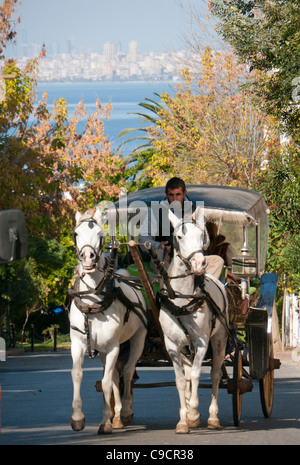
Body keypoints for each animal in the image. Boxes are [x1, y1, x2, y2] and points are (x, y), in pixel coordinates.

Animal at [68, 208, 148, 434]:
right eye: (76, 233)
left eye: (100, 235)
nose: (87, 258)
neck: (92, 301)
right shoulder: (78, 343)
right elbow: (78, 374)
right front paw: (78, 418)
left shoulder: (113, 346)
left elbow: (105, 383)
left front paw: (105, 422)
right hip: (104, 350)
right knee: (114, 377)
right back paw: (118, 415)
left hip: (137, 339)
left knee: (127, 372)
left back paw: (126, 412)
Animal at [159, 207, 227, 432]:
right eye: (179, 237)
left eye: (201, 236)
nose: (199, 264)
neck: (182, 300)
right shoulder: (172, 345)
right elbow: (181, 380)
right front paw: (183, 420)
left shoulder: (201, 341)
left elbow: (198, 374)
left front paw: (194, 413)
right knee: (189, 375)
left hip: (220, 339)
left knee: (215, 374)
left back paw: (213, 417)